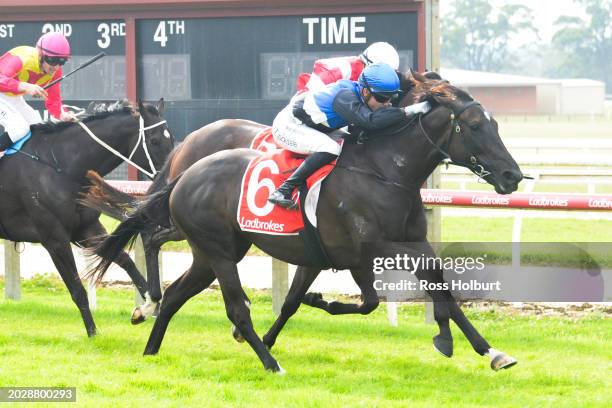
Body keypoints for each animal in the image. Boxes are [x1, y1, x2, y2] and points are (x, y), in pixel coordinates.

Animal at [0, 100, 172, 336]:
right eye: (154, 140)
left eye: (171, 138)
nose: (171, 177)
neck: (60, 165)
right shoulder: (54, 238)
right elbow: (77, 289)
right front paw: (92, 333)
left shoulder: (86, 229)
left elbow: (124, 259)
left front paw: (148, 307)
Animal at [89, 80, 520, 372]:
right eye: (476, 126)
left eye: (497, 125)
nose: (512, 175)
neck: (383, 171)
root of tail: (186, 169)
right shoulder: (373, 248)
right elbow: (404, 285)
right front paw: (446, 338)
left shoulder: (351, 252)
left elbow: (422, 286)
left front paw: (489, 350)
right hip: (218, 252)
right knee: (228, 303)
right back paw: (267, 363)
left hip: (212, 253)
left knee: (178, 291)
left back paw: (151, 348)